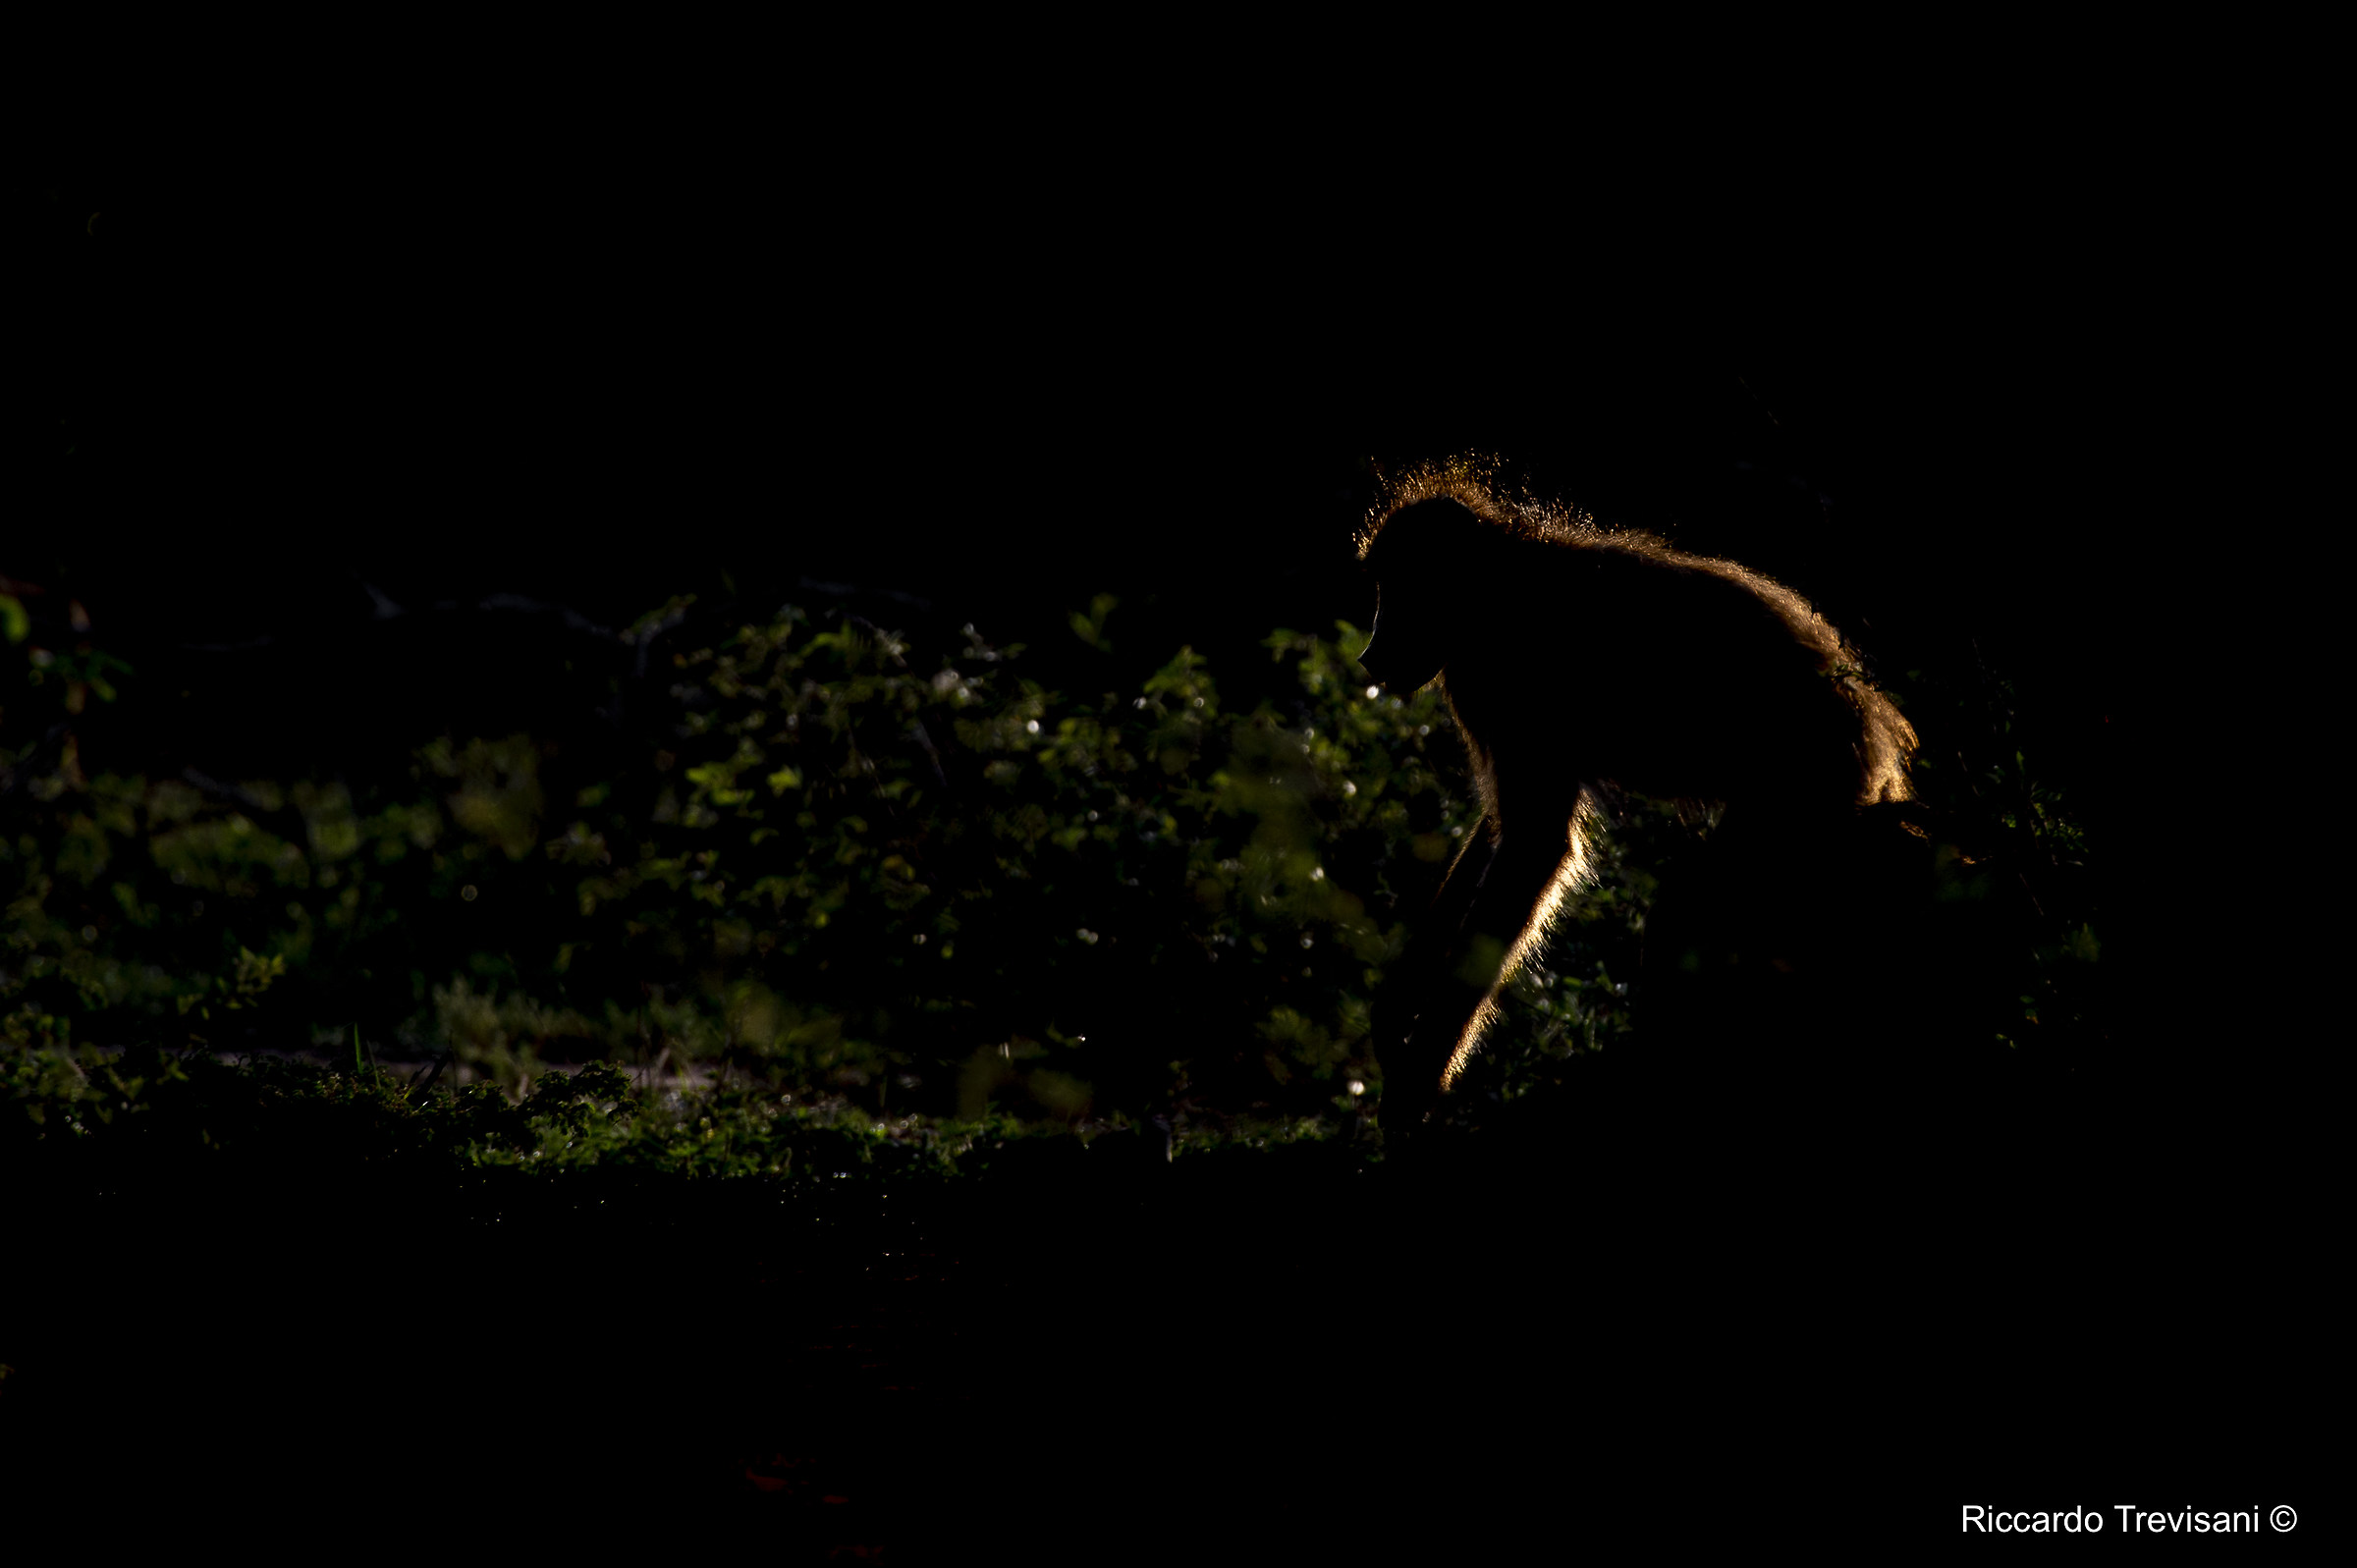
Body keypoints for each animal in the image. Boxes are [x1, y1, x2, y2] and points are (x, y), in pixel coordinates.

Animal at [1355, 465, 1921, 1135]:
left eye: (1399, 590)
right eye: (1382, 587)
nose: (1370, 653)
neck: (1498, 583)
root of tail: (1876, 727)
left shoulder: (1508, 675)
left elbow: (1533, 846)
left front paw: (1419, 1080)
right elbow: (1501, 833)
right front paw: (1395, 1015)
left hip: (1806, 793)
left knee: (1693, 903)